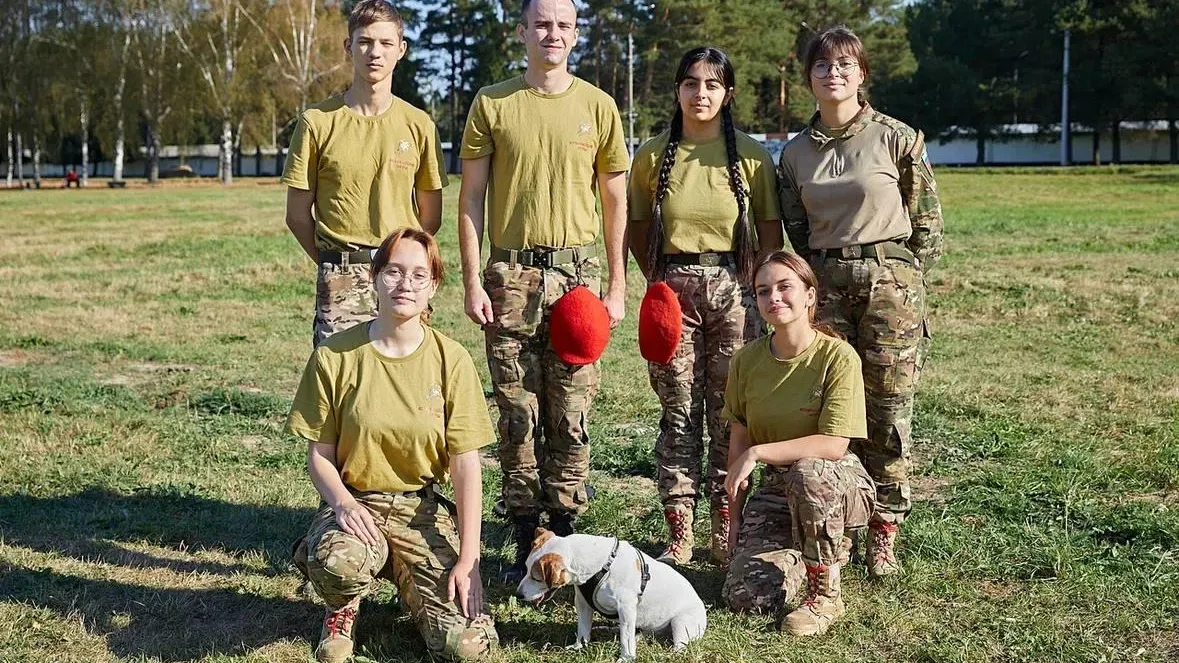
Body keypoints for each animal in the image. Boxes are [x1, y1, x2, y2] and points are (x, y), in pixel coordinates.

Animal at [514, 526, 697, 660]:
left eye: (536, 578)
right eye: (526, 568)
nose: (518, 595)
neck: (601, 565)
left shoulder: (626, 608)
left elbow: (625, 639)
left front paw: (626, 658)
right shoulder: (582, 602)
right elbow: (583, 628)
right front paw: (579, 646)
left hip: (681, 624)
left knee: (679, 647)